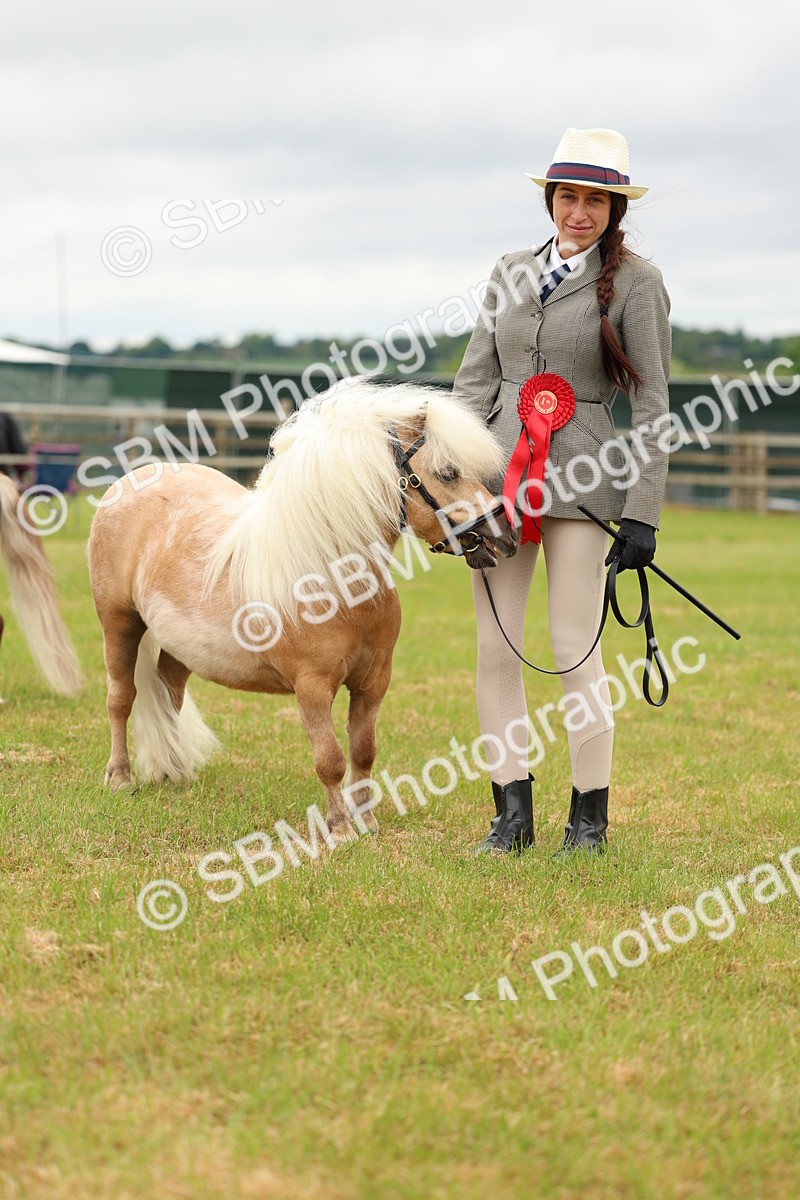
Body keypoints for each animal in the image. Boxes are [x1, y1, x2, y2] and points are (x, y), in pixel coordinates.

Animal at [86, 379, 517, 841]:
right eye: (448, 472)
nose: (506, 537)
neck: (335, 581)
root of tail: (128, 483)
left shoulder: (373, 684)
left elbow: (363, 751)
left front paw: (367, 822)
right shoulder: (312, 688)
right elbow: (330, 759)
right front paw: (340, 829)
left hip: (178, 646)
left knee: (169, 692)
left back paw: (175, 772)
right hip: (119, 624)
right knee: (121, 698)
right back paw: (120, 777)